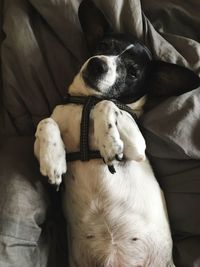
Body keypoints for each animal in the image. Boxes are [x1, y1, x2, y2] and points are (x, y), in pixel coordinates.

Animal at [33, 1, 199, 266]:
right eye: (102, 46)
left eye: (132, 72)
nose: (97, 63)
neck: (86, 102)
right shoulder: (46, 131)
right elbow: (46, 121)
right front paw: (53, 162)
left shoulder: (137, 147)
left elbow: (107, 103)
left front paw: (109, 143)